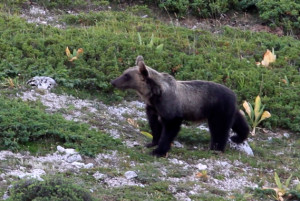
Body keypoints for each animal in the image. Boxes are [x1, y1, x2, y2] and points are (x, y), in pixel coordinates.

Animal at [111, 55, 250, 157]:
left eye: (126, 75)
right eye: (124, 73)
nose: (113, 82)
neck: (153, 95)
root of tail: (234, 94)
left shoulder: (171, 108)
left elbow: (170, 129)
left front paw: (159, 151)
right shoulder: (153, 108)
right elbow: (155, 125)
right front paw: (152, 143)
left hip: (217, 109)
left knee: (219, 128)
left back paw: (216, 148)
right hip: (228, 109)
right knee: (238, 121)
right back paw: (238, 137)